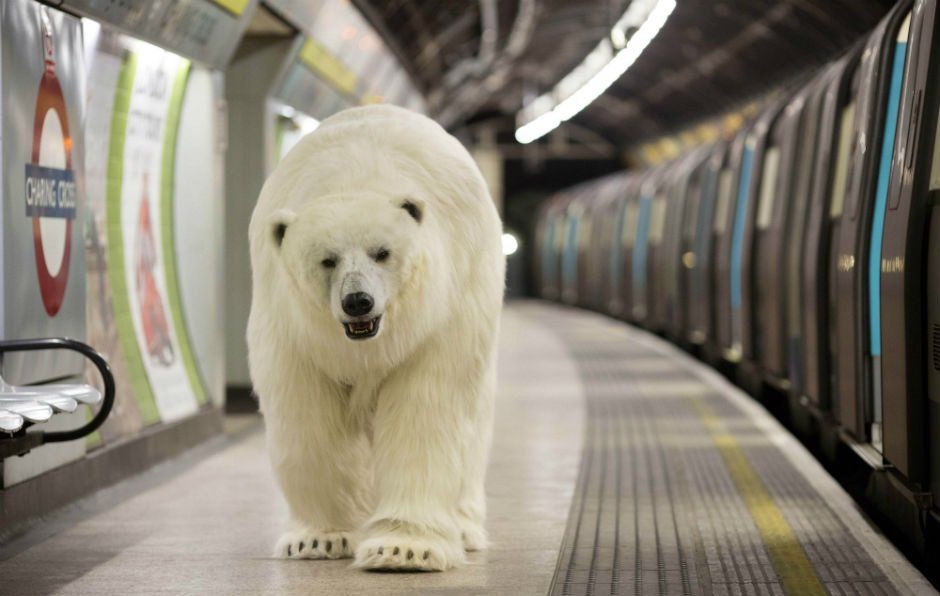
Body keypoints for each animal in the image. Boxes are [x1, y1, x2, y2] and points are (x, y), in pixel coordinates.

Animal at [246, 104, 505, 571]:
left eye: (382, 252)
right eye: (327, 260)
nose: (358, 302)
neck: (355, 174)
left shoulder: (436, 319)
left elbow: (426, 408)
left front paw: (403, 548)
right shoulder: (291, 325)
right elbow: (306, 415)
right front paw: (318, 538)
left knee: (473, 426)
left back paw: (464, 527)